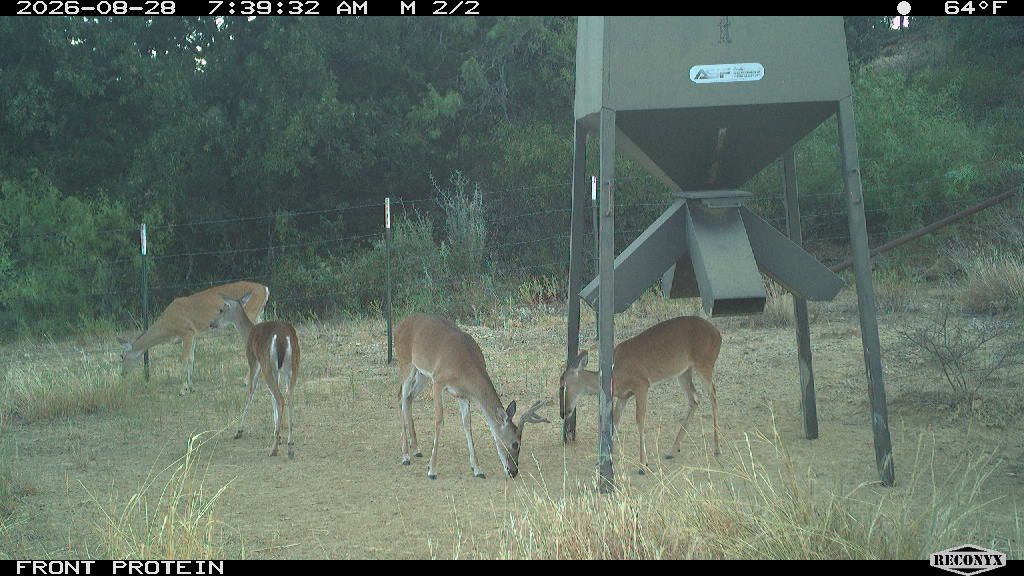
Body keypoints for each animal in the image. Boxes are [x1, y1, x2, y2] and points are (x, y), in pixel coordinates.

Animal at [119, 281, 269, 395]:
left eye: (121, 356)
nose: (122, 374)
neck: (168, 326)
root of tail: (265, 289)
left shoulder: (187, 332)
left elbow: (184, 359)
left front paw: (182, 389)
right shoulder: (195, 335)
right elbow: (191, 358)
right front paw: (191, 387)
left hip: (251, 313)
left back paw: (246, 380)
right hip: (259, 315)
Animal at [210, 291, 300, 459]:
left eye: (221, 309)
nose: (211, 323)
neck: (248, 333)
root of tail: (284, 337)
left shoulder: (253, 361)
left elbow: (251, 390)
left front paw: (239, 431)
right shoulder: (278, 371)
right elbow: (271, 397)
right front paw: (278, 433)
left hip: (267, 364)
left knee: (280, 397)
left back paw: (274, 449)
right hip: (293, 365)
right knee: (288, 396)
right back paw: (290, 447)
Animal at [396, 314, 551, 480]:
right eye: (515, 443)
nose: (513, 471)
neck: (463, 367)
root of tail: (402, 322)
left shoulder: (463, 394)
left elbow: (467, 425)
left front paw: (477, 469)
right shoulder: (438, 381)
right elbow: (439, 421)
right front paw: (432, 470)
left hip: (422, 374)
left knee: (409, 397)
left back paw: (416, 449)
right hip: (406, 363)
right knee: (402, 397)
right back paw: (405, 456)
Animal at [559, 315, 722, 473]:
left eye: (562, 386)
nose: (563, 412)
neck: (615, 375)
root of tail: (718, 334)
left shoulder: (641, 384)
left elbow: (640, 419)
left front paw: (643, 464)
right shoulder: (623, 396)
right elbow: (614, 421)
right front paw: (602, 460)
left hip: (704, 363)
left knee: (713, 394)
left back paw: (717, 448)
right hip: (683, 371)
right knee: (694, 398)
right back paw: (672, 451)